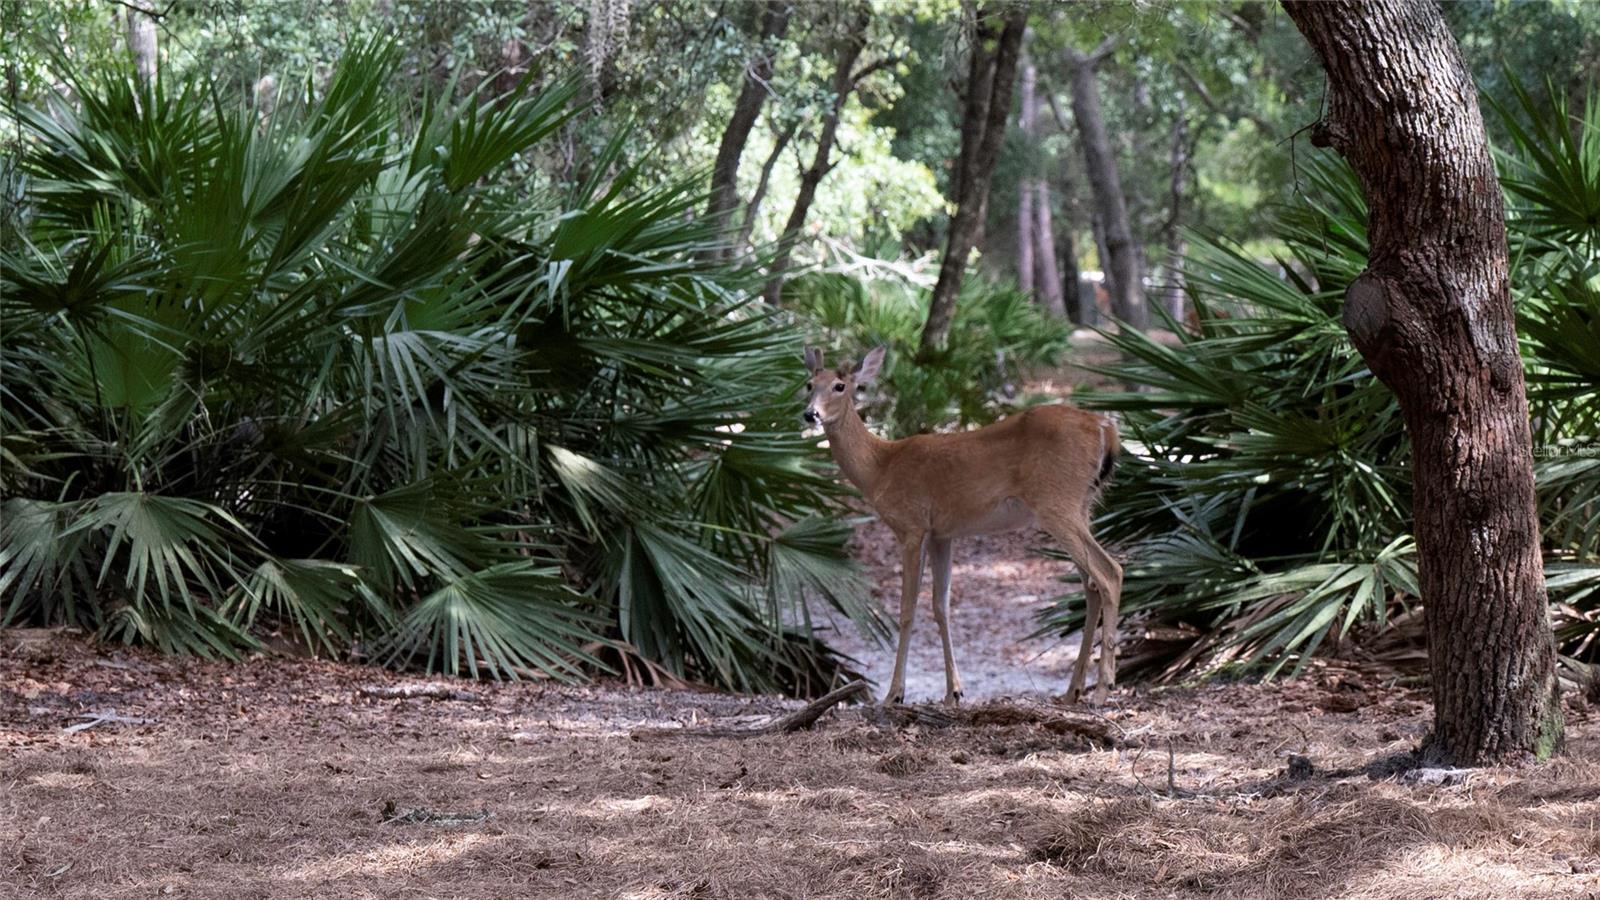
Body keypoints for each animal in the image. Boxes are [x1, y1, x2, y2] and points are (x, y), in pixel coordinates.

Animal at [800, 342, 1126, 701]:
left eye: (840, 386)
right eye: (809, 384)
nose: (810, 414)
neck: (879, 467)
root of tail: (1106, 429)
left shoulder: (912, 525)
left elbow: (907, 609)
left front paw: (895, 694)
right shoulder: (942, 533)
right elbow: (941, 606)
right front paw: (953, 692)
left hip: (1056, 502)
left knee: (1110, 572)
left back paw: (1104, 688)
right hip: (1081, 506)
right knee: (1091, 587)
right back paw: (1073, 691)